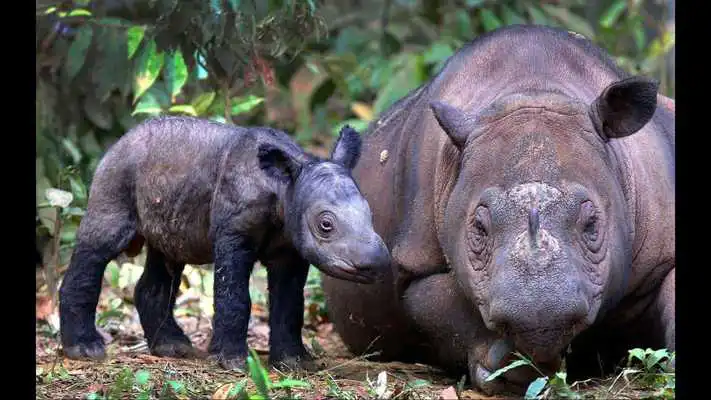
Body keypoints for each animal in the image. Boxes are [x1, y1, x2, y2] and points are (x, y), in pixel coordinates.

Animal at [58, 117, 391, 371]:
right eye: (326, 225)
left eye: (371, 214)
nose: (376, 263)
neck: (284, 188)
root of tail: (120, 141)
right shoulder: (234, 232)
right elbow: (235, 295)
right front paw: (232, 362)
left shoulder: (291, 246)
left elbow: (290, 303)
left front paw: (295, 363)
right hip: (116, 174)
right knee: (101, 245)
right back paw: (85, 350)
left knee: (167, 256)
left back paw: (172, 347)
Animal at [321, 24, 674, 395]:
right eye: (479, 230)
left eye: (592, 224)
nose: (540, 315)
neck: (534, 88)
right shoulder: (415, 263)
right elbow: (439, 305)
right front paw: (510, 369)